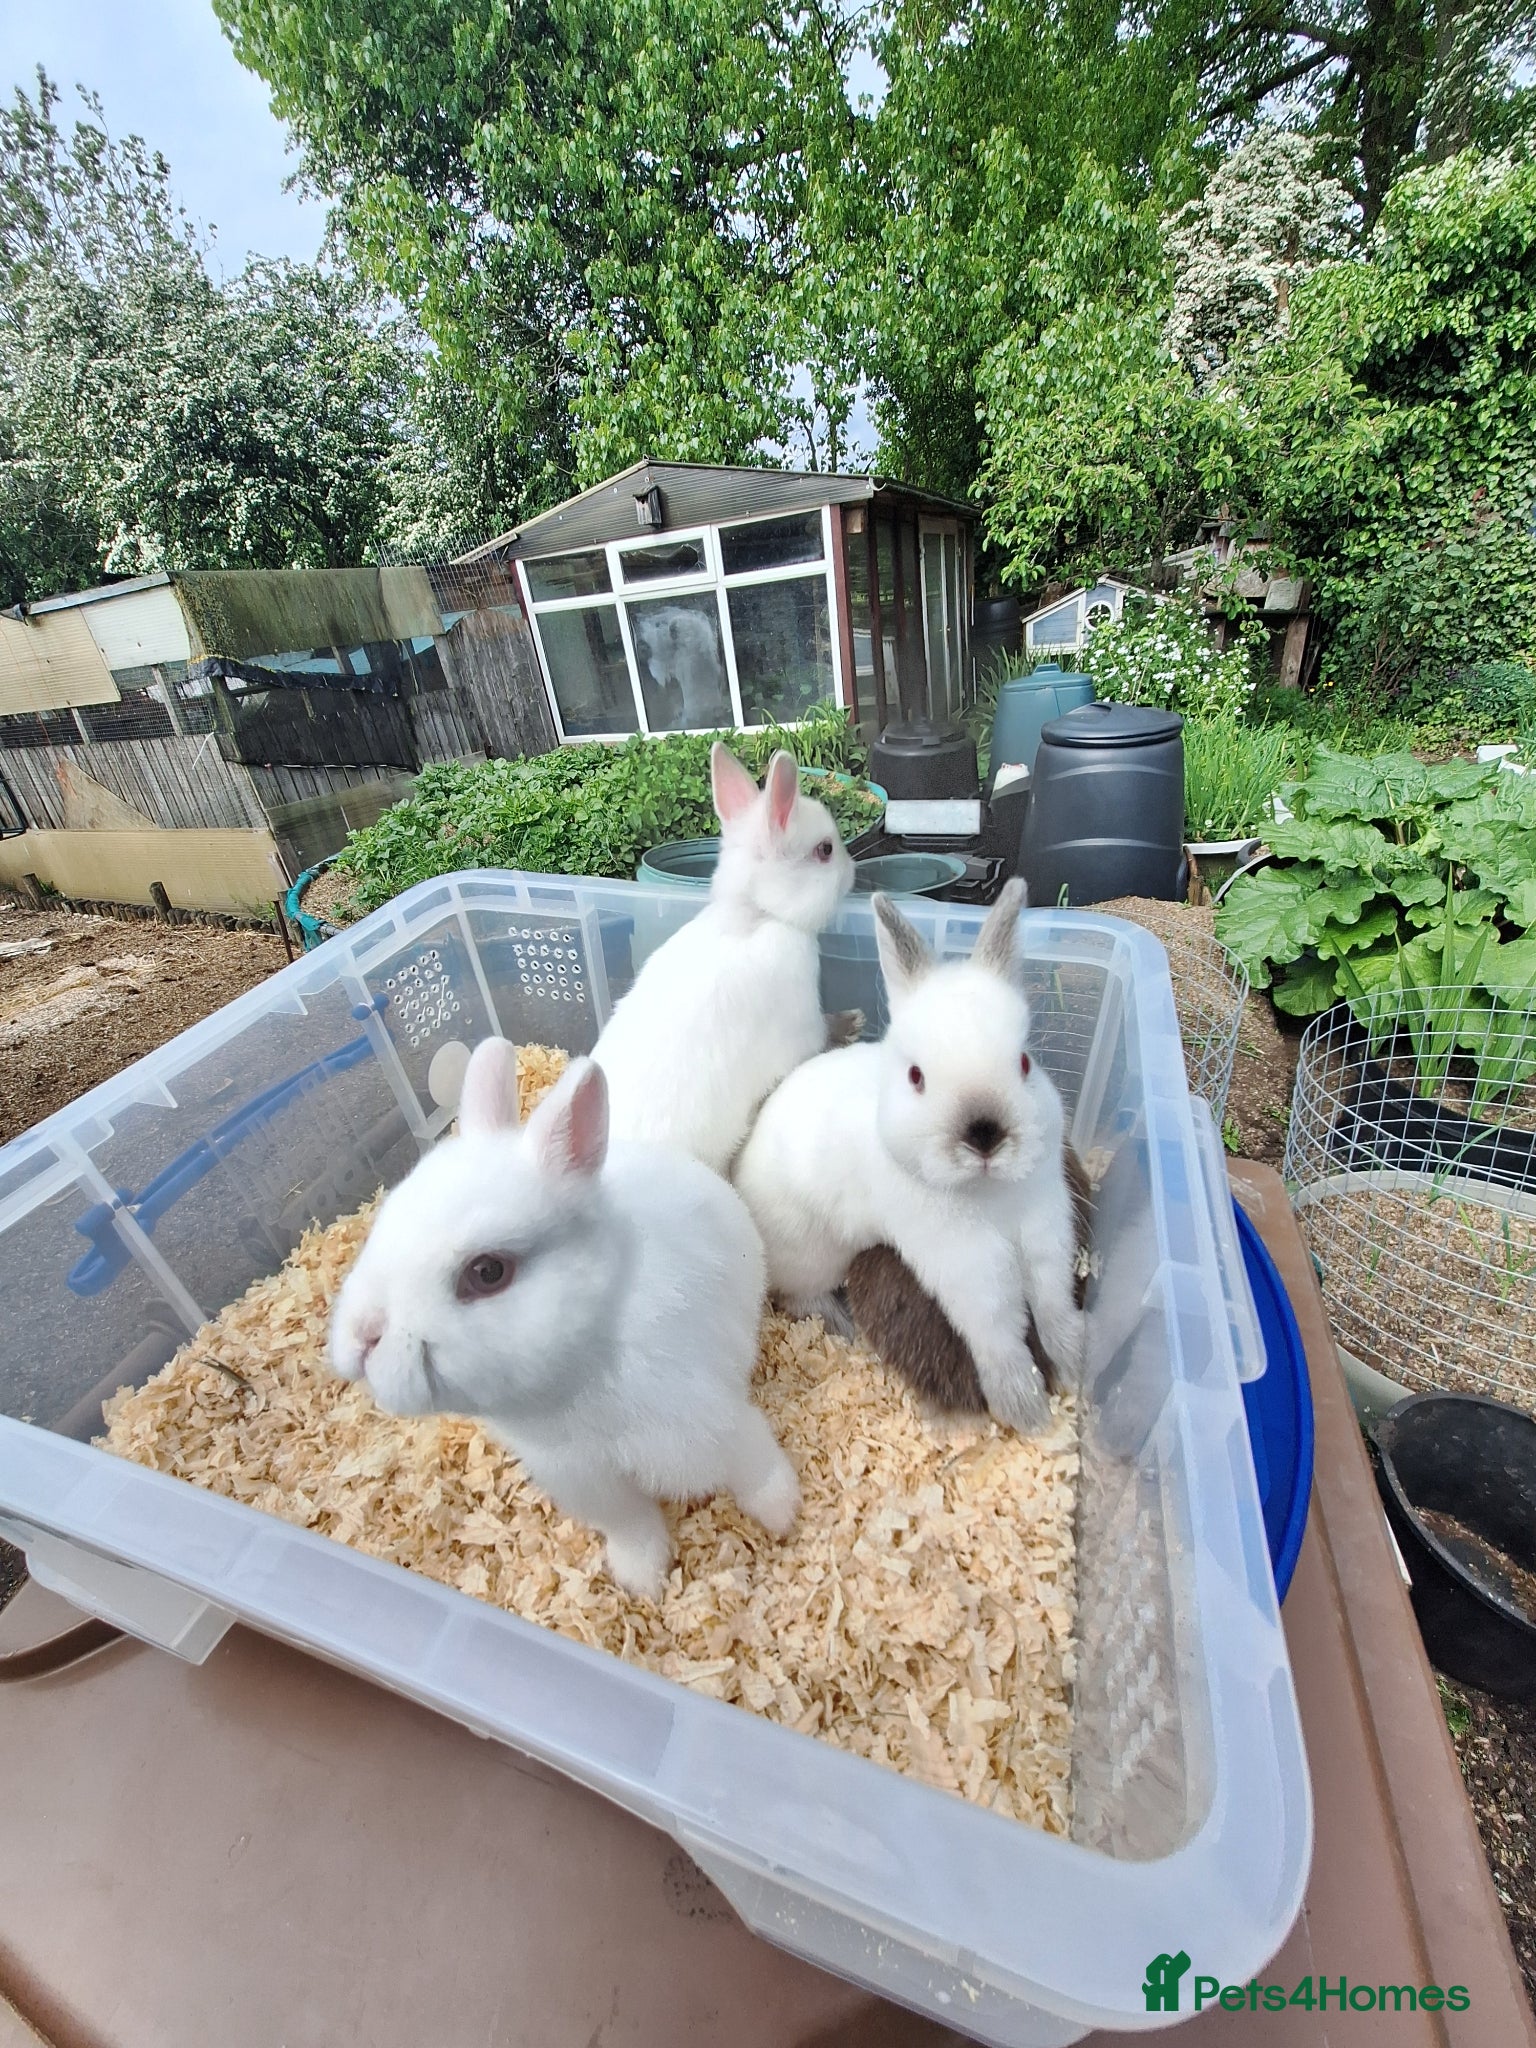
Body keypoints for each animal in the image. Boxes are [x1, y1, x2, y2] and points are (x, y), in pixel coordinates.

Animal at [329, 1040, 800, 1600]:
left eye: (487, 1272)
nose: (361, 1338)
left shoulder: (715, 1423)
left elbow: (755, 1467)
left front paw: (784, 1517)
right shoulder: (587, 1482)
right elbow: (632, 1526)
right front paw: (641, 1580)